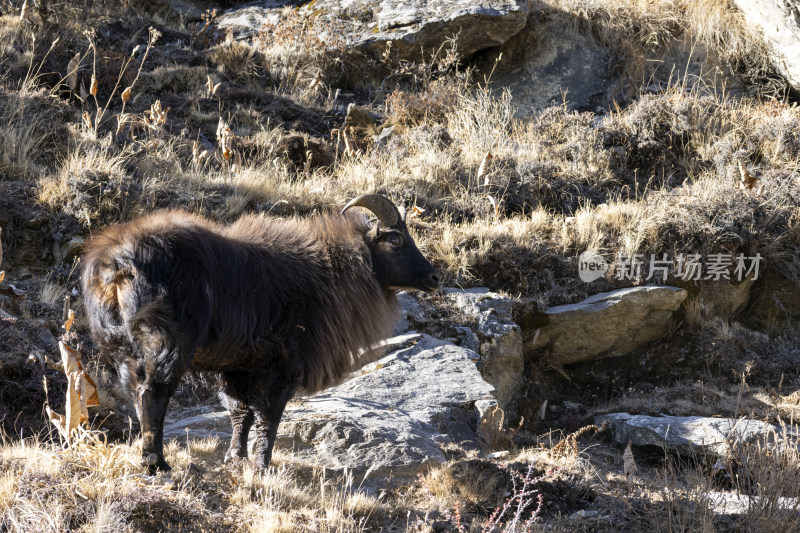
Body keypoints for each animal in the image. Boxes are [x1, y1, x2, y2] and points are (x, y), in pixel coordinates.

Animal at [81, 194, 438, 470]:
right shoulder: (283, 366)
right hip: (166, 344)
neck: (333, 270)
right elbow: (268, 417)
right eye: (395, 240)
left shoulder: (237, 366)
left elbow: (240, 413)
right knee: (152, 394)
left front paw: (235, 458)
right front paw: (262, 464)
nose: (434, 278)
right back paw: (156, 462)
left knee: (135, 393)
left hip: (123, 349)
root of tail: (116, 263)